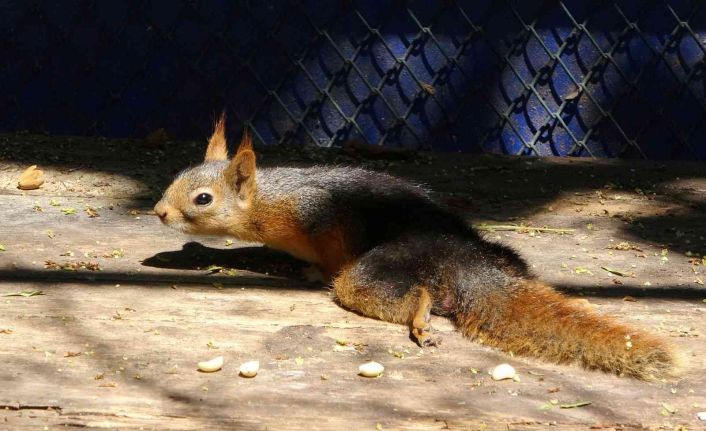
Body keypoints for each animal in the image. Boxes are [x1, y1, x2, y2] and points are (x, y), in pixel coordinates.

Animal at [154, 116, 676, 380]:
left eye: (203, 199)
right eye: (177, 178)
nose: (158, 211)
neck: (271, 202)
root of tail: (461, 256)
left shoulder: (322, 219)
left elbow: (328, 253)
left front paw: (312, 271)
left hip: (376, 269)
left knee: (406, 291)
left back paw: (420, 318)